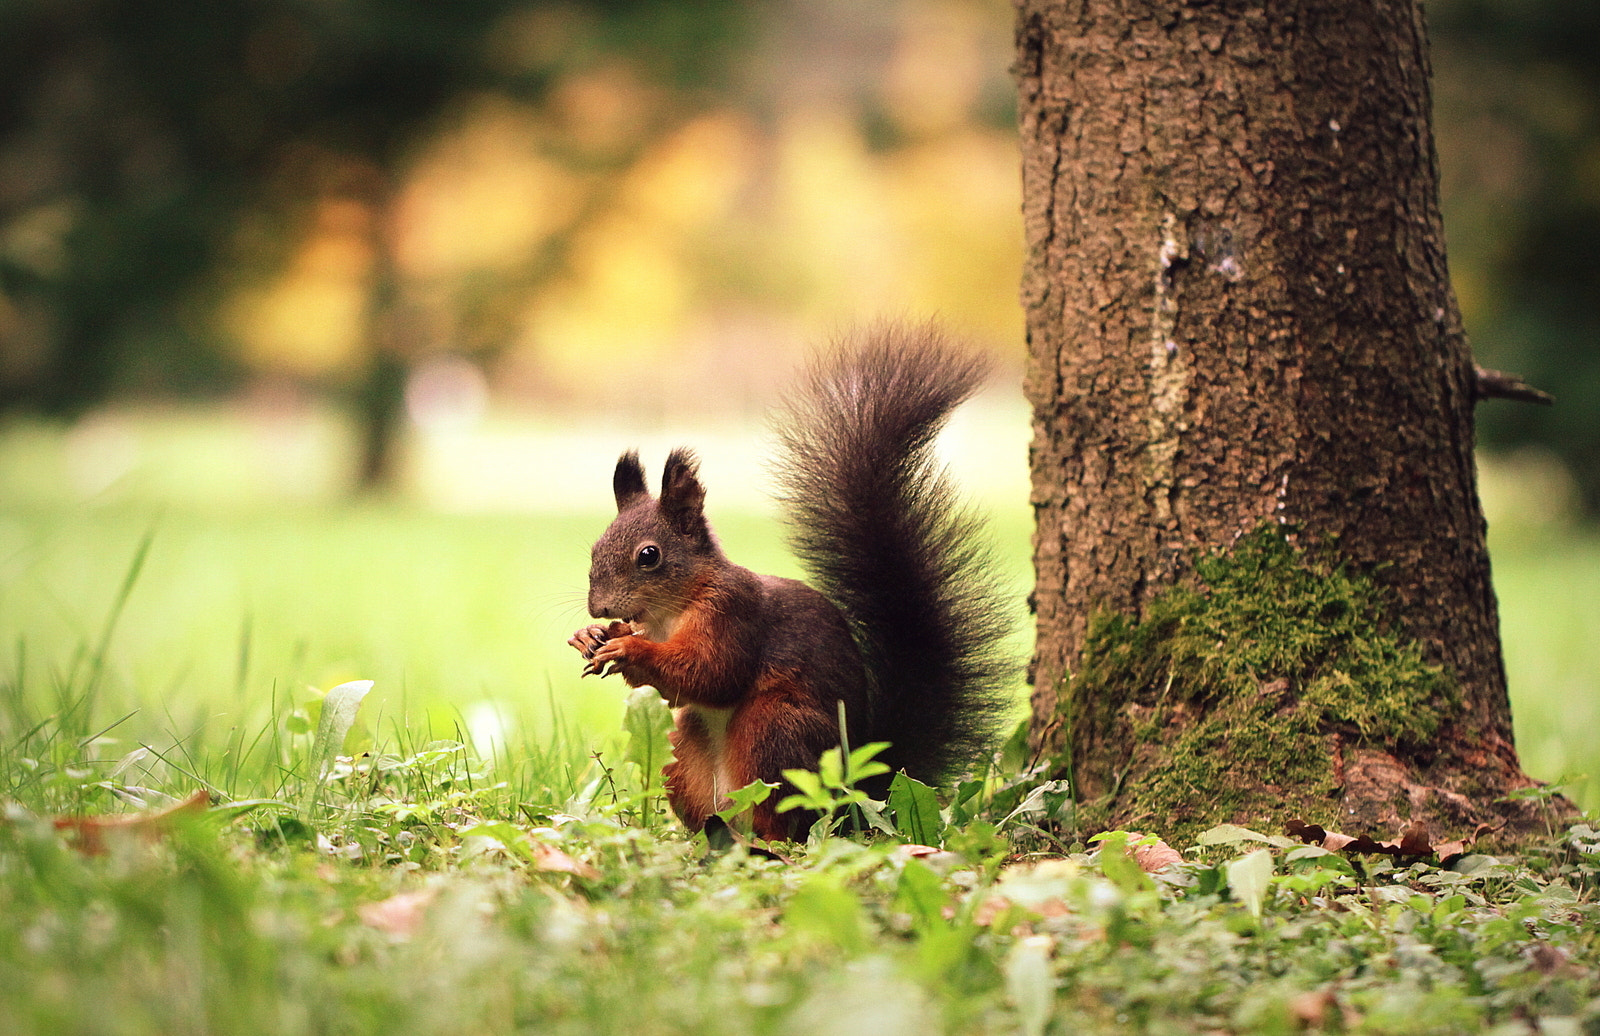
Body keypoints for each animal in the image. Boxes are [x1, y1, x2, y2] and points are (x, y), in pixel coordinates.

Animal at [569, 326, 1004, 844]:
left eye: (649, 555)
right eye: (595, 548)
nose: (598, 607)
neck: (669, 612)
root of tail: (856, 798)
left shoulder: (734, 613)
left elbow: (712, 672)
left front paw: (627, 648)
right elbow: (677, 689)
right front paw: (591, 637)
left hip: (775, 732)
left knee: (782, 814)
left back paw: (764, 840)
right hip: (685, 754)